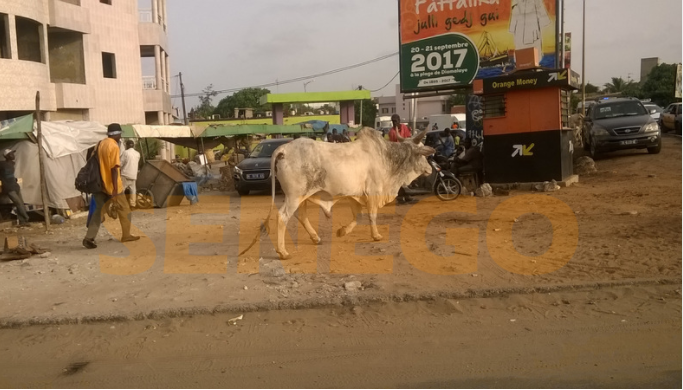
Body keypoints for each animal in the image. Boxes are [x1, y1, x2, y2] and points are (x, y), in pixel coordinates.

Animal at [238, 128, 436, 260]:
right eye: (422, 154)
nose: (430, 169)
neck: (387, 157)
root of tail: (283, 149)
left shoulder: (354, 195)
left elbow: (358, 217)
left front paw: (342, 231)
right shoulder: (373, 192)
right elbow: (371, 216)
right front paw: (376, 236)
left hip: (302, 197)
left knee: (301, 216)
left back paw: (316, 238)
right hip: (294, 196)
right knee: (282, 216)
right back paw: (283, 252)